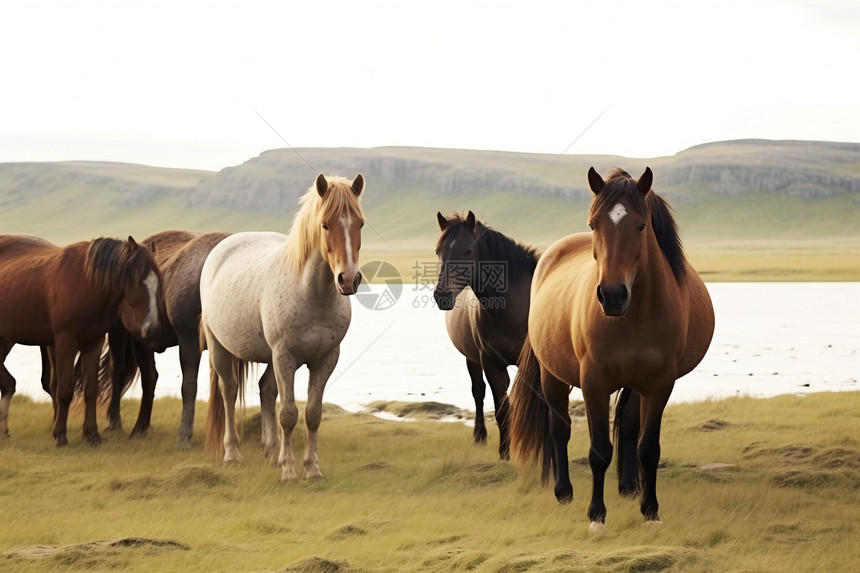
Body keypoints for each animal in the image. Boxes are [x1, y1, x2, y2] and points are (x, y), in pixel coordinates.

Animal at [0, 235, 161, 444]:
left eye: (158, 282)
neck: (84, 283)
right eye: (136, 281)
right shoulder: (65, 342)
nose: (152, 329)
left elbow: (91, 389)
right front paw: (61, 435)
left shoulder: (93, 343)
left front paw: (92, 434)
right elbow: (64, 390)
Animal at [205, 173, 366, 478]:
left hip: (270, 358)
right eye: (325, 224)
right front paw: (290, 470)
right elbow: (289, 414)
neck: (312, 295)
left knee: (266, 391)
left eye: (360, 224)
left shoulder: (326, 359)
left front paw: (311, 469)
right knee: (229, 391)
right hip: (220, 347)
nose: (349, 279)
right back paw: (232, 453)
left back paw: (272, 452)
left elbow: (313, 414)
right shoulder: (285, 356)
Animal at [434, 212, 536, 458]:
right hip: (471, 359)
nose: (441, 295)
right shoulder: (491, 363)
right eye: (438, 251)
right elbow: (501, 409)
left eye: (467, 251)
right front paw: (505, 453)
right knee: (478, 393)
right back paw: (479, 435)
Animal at [508, 168, 716, 528]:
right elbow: (599, 450)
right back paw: (563, 492)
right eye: (594, 225)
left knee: (630, 429)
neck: (634, 316)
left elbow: (648, 447)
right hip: (552, 376)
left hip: (634, 384)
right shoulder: (594, 382)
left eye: (641, 225)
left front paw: (650, 510)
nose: (612, 294)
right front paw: (596, 515)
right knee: (559, 429)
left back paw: (629, 488)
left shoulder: (659, 384)